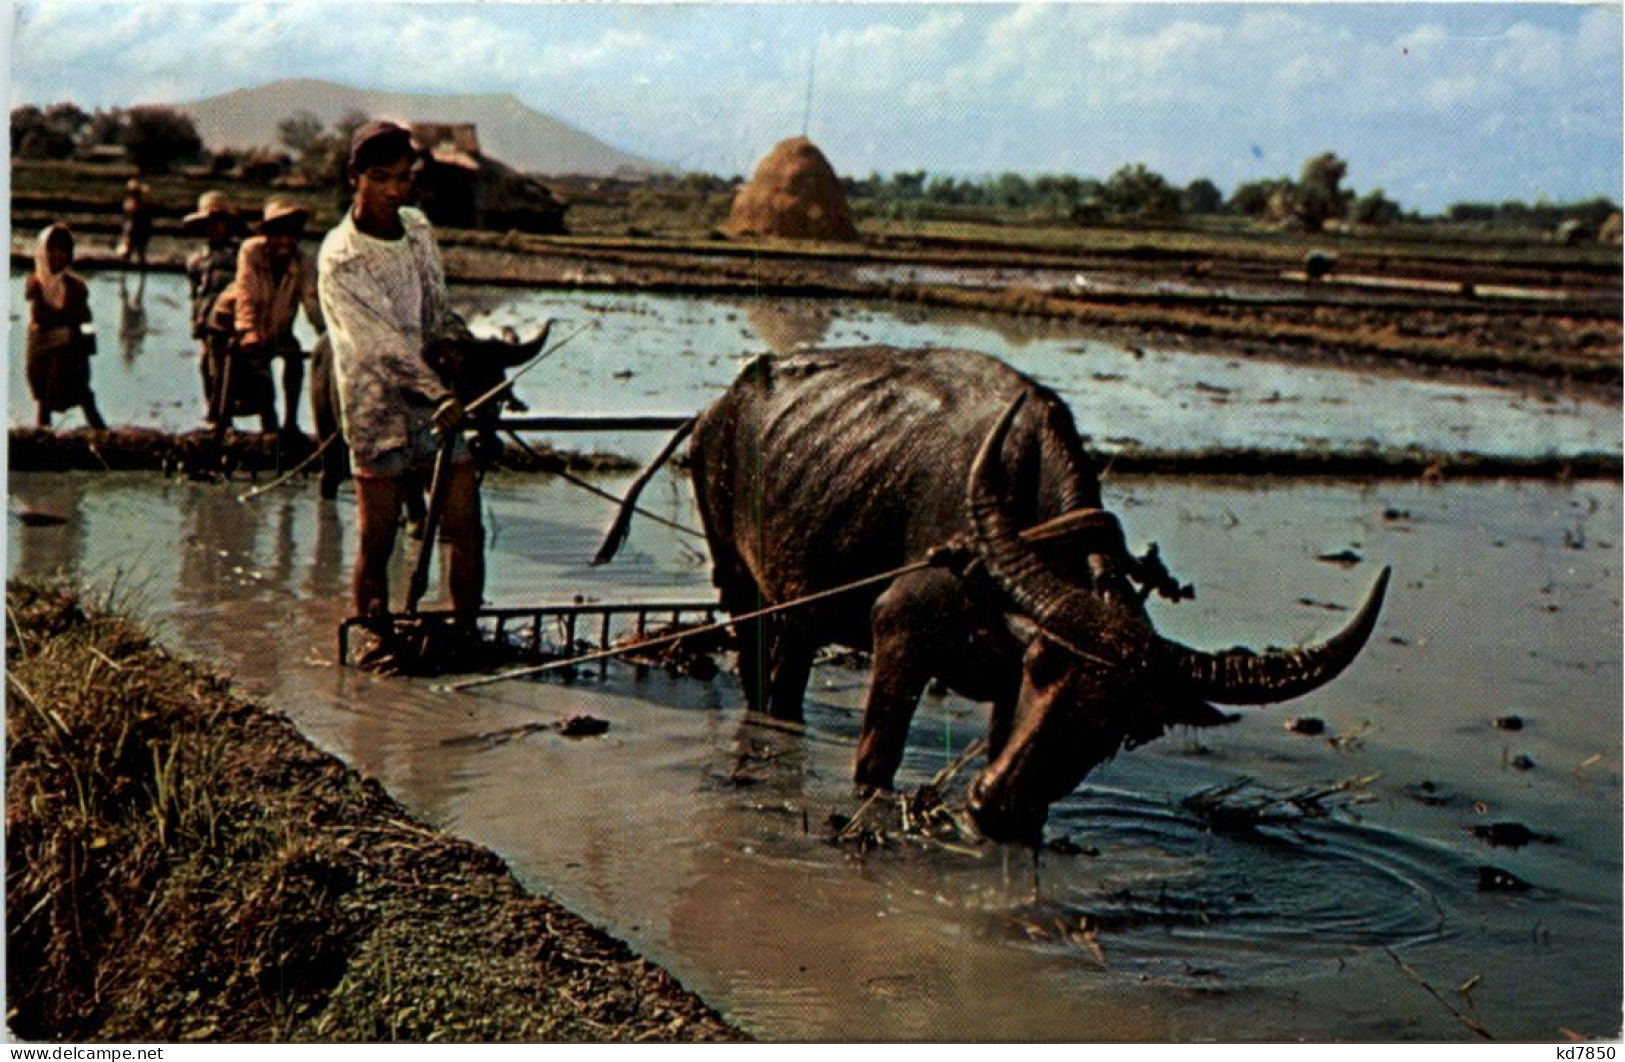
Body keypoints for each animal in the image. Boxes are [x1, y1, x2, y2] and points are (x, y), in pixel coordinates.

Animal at [598, 349, 1384, 850]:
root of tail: (715, 410)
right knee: (756, 667)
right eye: (1043, 669)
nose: (996, 808)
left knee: (785, 679)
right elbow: (875, 763)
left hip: (801, 598)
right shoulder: (900, 632)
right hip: (736, 576)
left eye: (1126, 727)